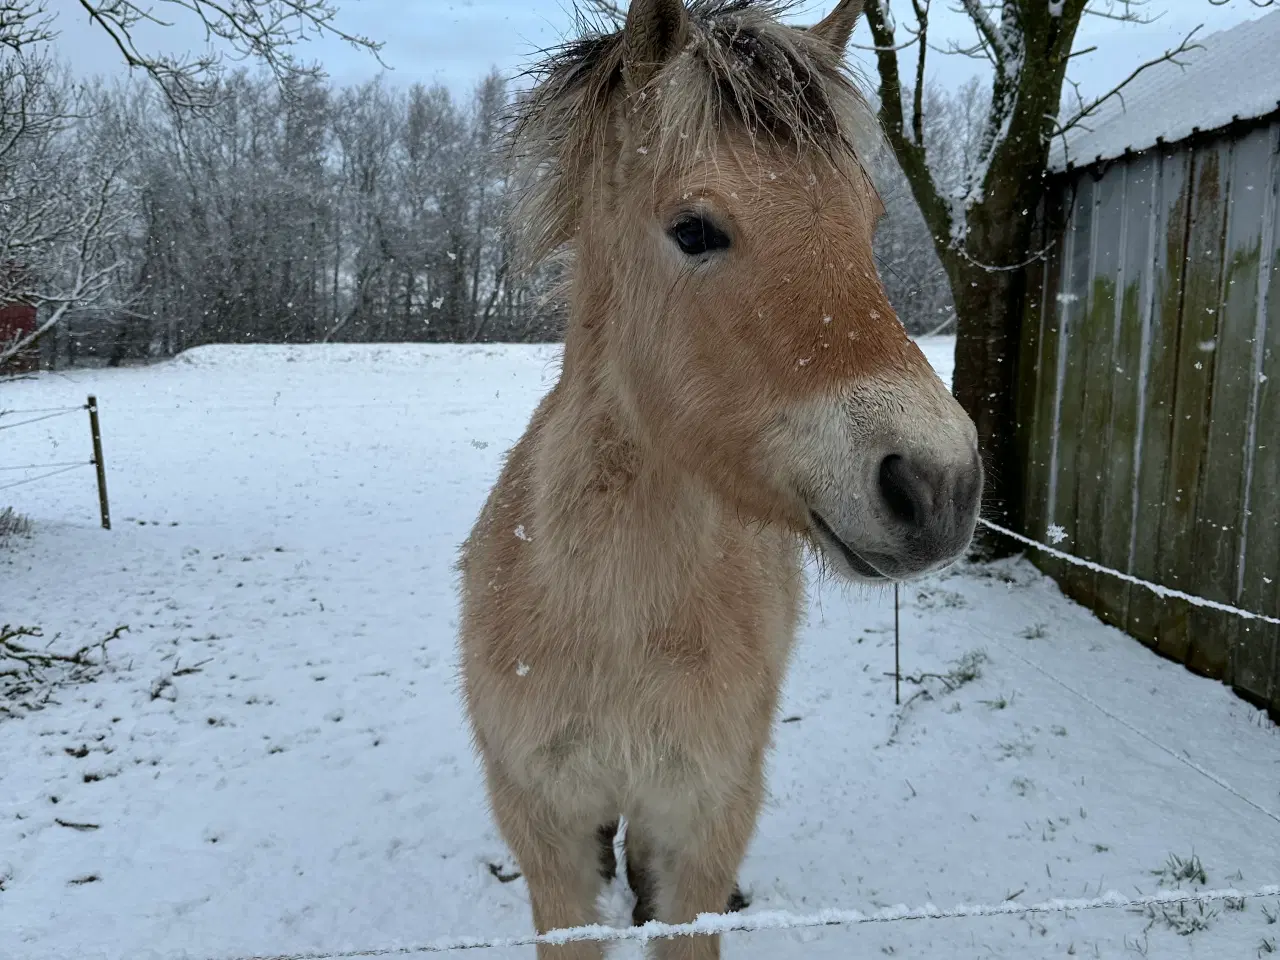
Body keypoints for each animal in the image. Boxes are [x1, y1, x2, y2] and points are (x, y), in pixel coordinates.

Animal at [458, 1, 977, 957]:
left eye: (868, 220)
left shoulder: (700, 833)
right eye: (695, 229)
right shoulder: (549, 848)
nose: (940, 483)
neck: (613, 630)